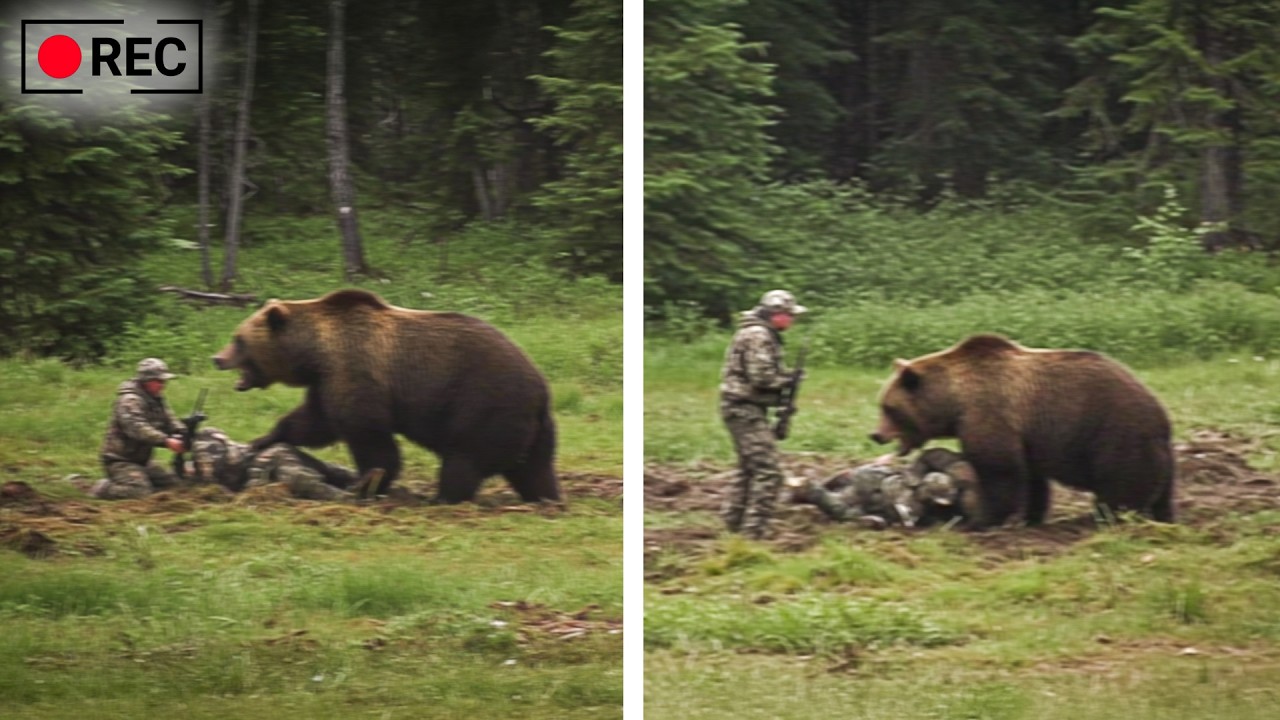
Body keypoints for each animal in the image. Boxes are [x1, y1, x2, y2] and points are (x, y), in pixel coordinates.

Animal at [211, 288, 559, 504]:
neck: (315, 353)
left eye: (238, 339)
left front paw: (368, 484)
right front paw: (263, 439)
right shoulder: (327, 381)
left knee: (464, 460)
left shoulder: (355, 368)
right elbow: (314, 421)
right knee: (535, 469)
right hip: (537, 430)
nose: (217, 358)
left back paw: (442, 497)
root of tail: (540, 391)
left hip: (483, 406)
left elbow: (369, 435)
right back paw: (547, 498)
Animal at [870, 334, 1174, 528]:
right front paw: (1030, 516)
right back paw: (1163, 517)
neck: (954, 402)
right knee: (1161, 494)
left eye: (888, 407)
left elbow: (1000, 471)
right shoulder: (1029, 437)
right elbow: (1031, 479)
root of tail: (1160, 414)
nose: (875, 435)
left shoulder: (989, 413)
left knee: (1122, 486)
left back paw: (1107, 517)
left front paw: (980, 519)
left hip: (1115, 434)